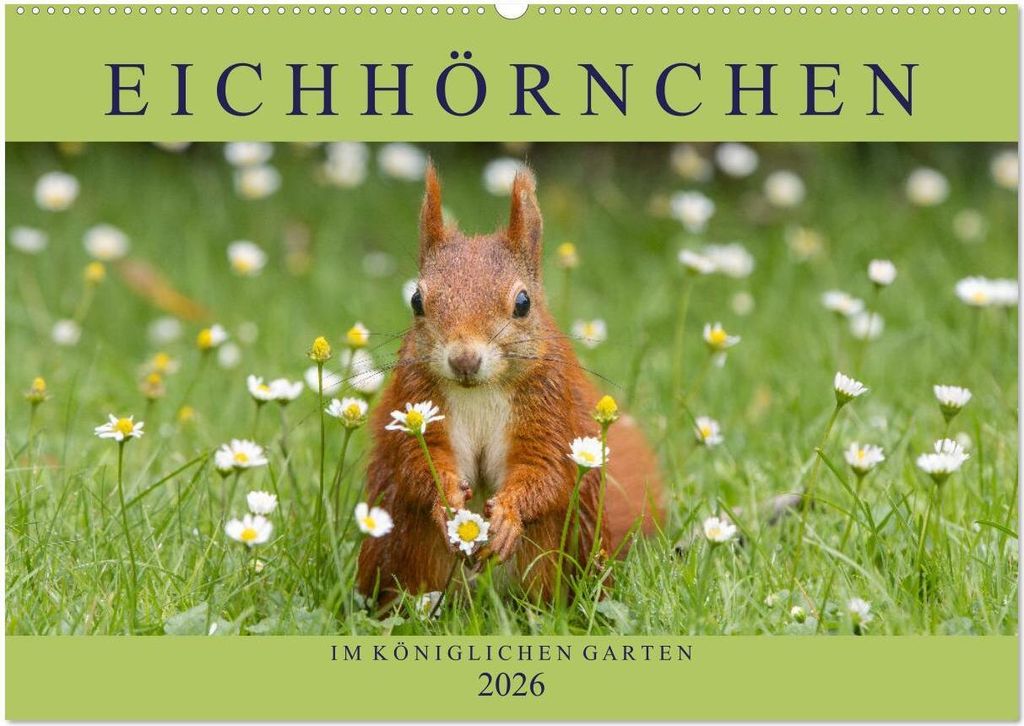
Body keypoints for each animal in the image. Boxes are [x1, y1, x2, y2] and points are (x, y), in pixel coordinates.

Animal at [357, 162, 663, 603]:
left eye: (523, 303)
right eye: (416, 301)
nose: (464, 360)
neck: (480, 392)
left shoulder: (549, 409)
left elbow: (546, 470)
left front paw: (507, 516)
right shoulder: (415, 402)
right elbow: (418, 462)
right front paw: (447, 500)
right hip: (407, 545)